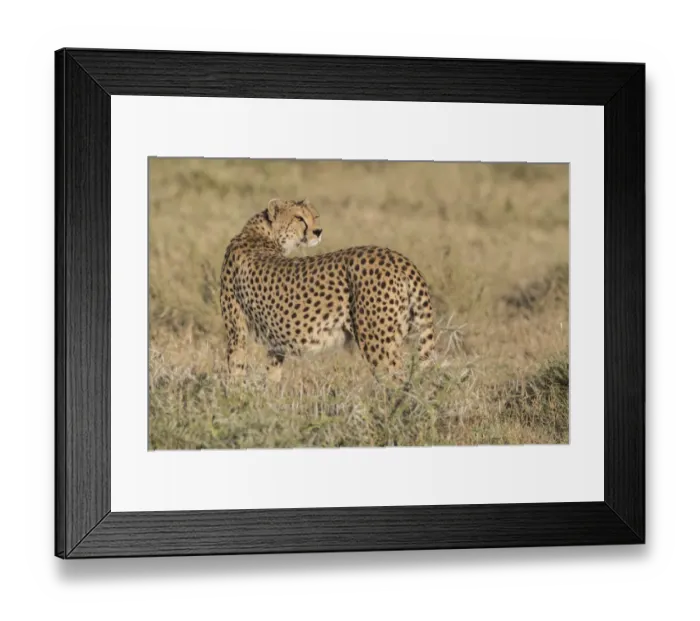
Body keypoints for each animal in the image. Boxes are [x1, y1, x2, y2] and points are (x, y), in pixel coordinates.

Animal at [220, 198, 435, 383]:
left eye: (315, 216)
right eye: (299, 218)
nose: (318, 231)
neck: (262, 234)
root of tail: (399, 258)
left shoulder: (237, 331)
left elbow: (235, 371)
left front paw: (236, 400)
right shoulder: (274, 344)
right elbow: (270, 377)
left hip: (377, 343)